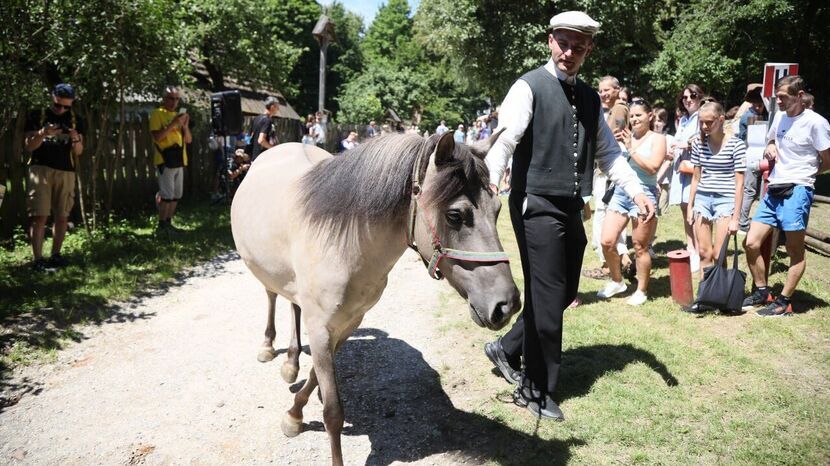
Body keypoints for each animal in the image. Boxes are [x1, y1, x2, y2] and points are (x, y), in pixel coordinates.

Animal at [231, 129, 524, 464]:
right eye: (454, 215)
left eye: (498, 209)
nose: (507, 305)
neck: (344, 243)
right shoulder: (321, 328)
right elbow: (333, 412)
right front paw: (300, 417)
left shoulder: (348, 323)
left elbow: (318, 375)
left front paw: (294, 413)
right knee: (271, 295)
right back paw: (268, 347)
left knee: (292, 304)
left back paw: (291, 363)